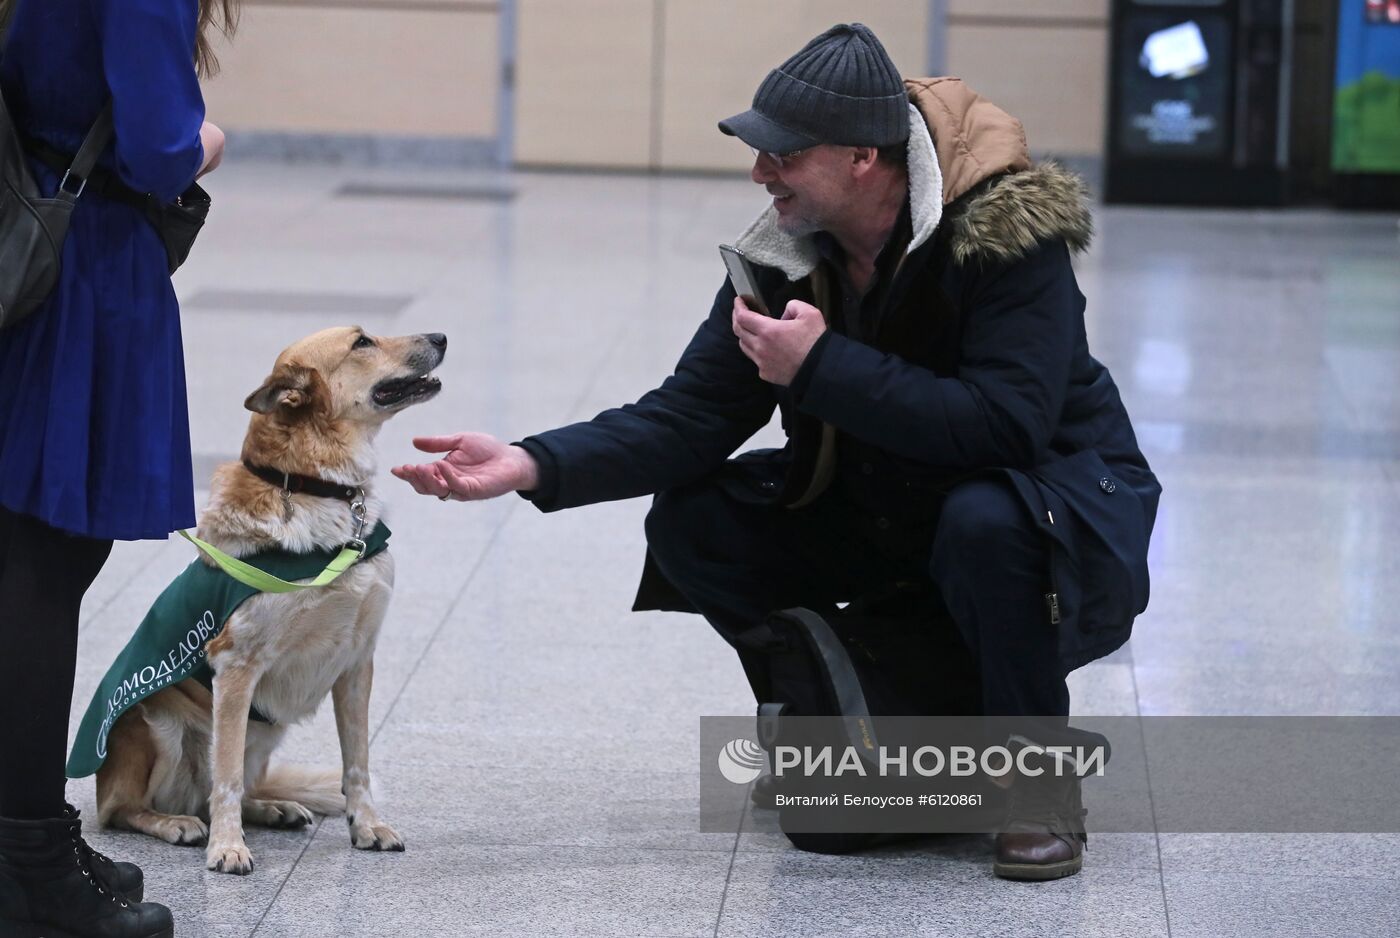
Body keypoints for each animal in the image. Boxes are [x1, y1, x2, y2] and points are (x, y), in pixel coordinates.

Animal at [94, 327, 442, 879]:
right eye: (363, 342)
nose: (442, 336)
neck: (321, 494)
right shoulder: (237, 666)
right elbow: (226, 778)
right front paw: (227, 848)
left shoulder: (357, 663)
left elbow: (357, 762)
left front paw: (366, 826)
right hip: (157, 724)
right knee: (129, 808)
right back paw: (175, 823)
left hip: (264, 735)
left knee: (232, 787)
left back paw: (272, 808)